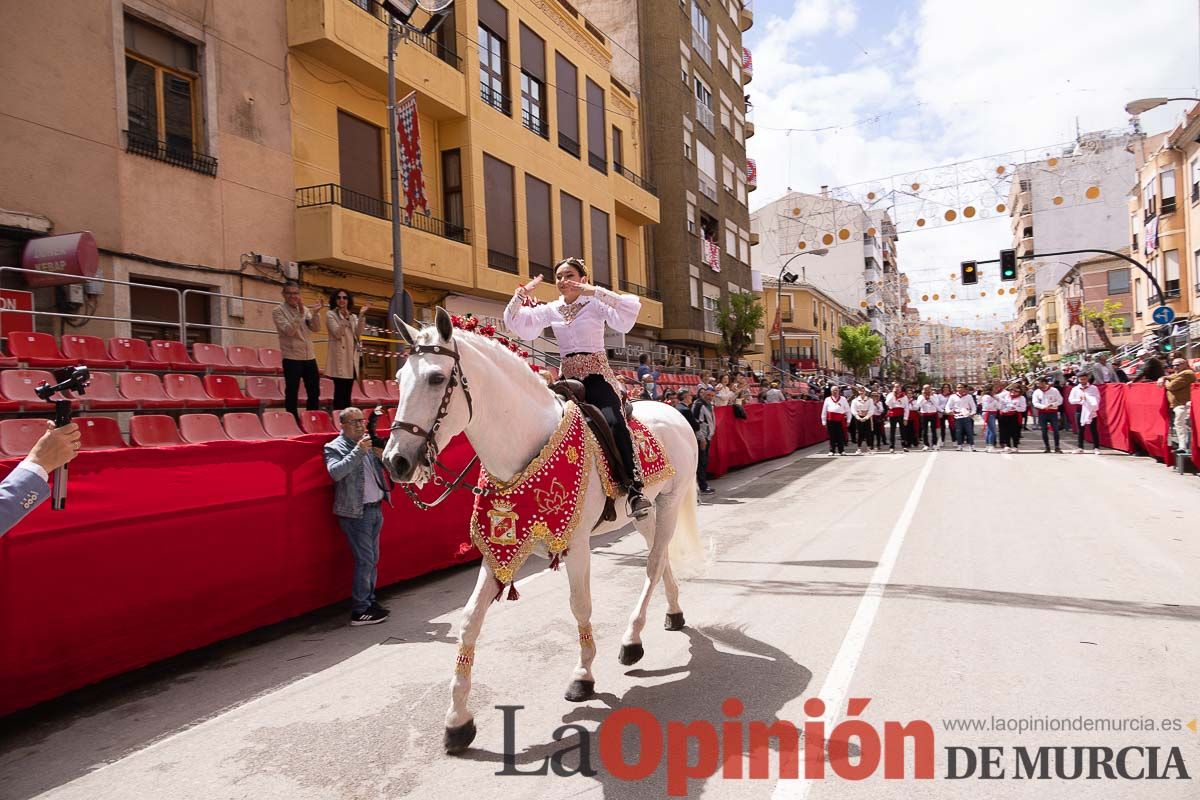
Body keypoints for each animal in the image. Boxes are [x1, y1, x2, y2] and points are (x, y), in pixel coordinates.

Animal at [384, 309, 700, 753]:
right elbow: (468, 621)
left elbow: (580, 605)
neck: (525, 446)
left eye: (435, 377)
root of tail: (674, 411)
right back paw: (672, 613)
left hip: (670, 502)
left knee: (654, 563)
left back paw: (631, 641)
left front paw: (582, 676)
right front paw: (457, 719)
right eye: (397, 379)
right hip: (644, 513)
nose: (395, 461)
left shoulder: (577, 545)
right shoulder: (498, 551)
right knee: (661, 557)